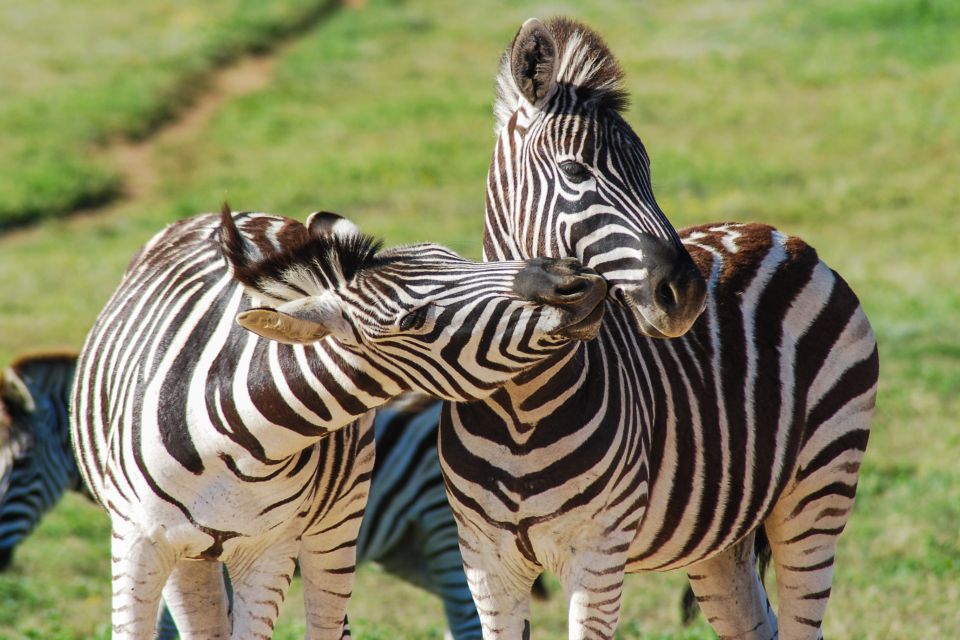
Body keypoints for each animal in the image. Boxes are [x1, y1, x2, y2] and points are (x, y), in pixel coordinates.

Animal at [71, 206, 604, 640]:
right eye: (414, 322)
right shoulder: (136, 541)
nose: (574, 279)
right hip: (190, 552)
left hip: (337, 522)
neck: (229, 440)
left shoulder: (271, 550)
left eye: (454, 256)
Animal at [438, 16, 880, 640]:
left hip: (818, 489)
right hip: (721, 537)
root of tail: (780, 236)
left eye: (648, 172)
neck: (521, 405)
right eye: (574, 171)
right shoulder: (485, 564)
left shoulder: (598, 557)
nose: (687, 294)